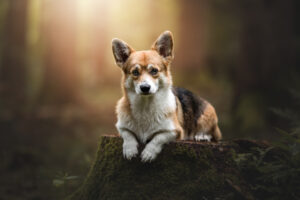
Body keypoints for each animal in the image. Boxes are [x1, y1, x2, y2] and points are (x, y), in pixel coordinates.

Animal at [111, 31, 221, 162]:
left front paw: (149, 153)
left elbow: (158, 138)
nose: (145, 87)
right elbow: (128, 134)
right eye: (135, 72)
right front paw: (130, 149)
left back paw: (202, 135)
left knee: (212, 133)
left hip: (207, 115)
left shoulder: (174, 131)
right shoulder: (120, 127)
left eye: (154, 71)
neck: (145, 106)